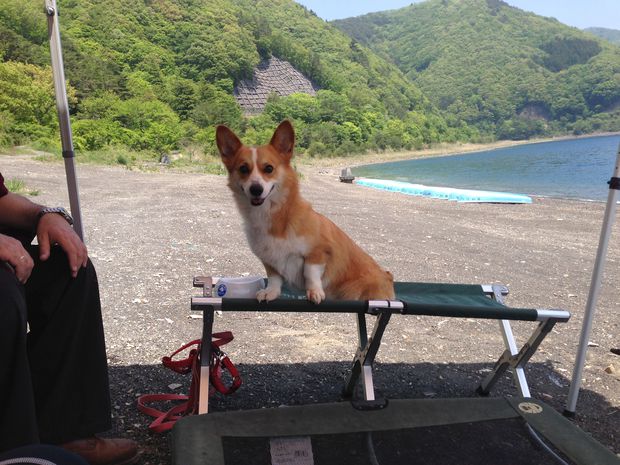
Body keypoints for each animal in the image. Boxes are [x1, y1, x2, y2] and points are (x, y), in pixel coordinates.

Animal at [216, 118, 394, 304]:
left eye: (269, 168)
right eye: (243, 169)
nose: (256, 189)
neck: (274, 215)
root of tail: (388, 277)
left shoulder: (318, 253)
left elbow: (310, 273)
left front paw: (315, 292)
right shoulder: (269, 260)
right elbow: (274, 279)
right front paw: (270, 292)